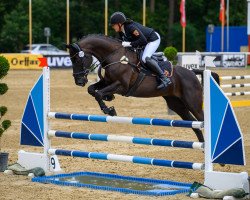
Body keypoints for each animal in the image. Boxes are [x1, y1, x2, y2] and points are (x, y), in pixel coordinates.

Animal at [66, 34, 219, 142]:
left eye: (78, 59)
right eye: (71, 60)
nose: (79, 81)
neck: (115, 56)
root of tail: (193, 73)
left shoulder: (121, 85)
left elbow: (98, 94)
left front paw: (109, 110)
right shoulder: (106, 82)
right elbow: (92, 90)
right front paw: (109, 99)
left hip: (192, 102)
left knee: (202, 118)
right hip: (176, 104)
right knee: (194, 125)